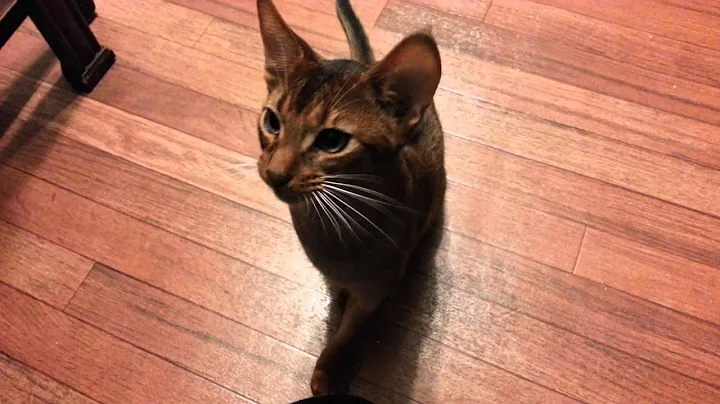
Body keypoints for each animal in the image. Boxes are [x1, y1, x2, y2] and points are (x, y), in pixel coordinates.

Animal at [253, 0, 444, 396]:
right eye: (272, 122)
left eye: (331, 141)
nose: (275, 173)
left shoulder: (375, 290)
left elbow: (351, 328)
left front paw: (332, 368)